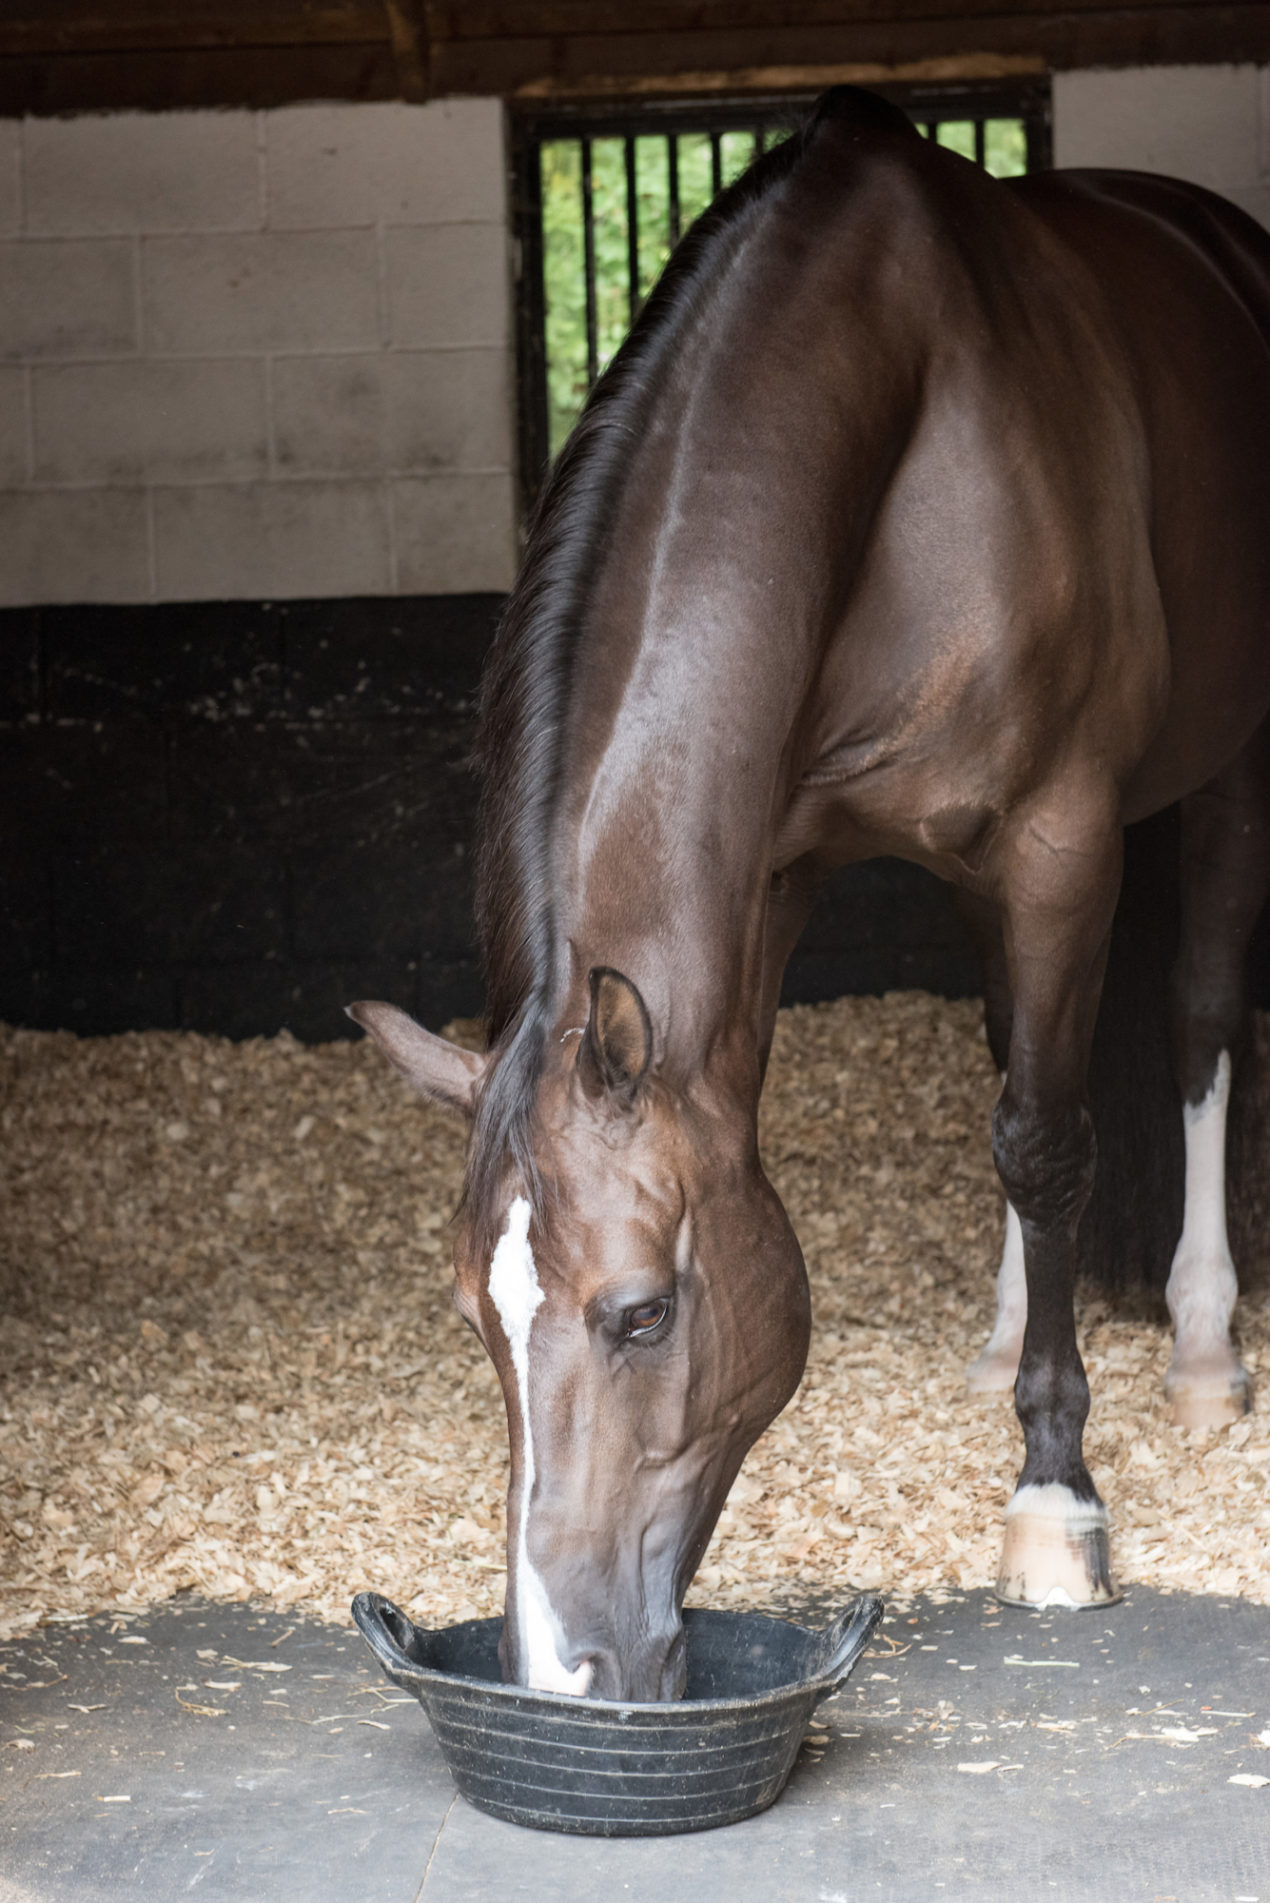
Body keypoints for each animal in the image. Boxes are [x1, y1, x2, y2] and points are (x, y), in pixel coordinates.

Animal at [348, 85, 1270, 1697]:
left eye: (642, 1312)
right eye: (475, 1317)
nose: (564, 1673)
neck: (897, 430)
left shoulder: (1058, 841)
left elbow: (1048, 1140)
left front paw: (1054, 1500)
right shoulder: (773, 871)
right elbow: (1012, 1114)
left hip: (1220, 766)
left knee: (1194, 1022)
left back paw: (1203, 1349)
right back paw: (1005, 1332)